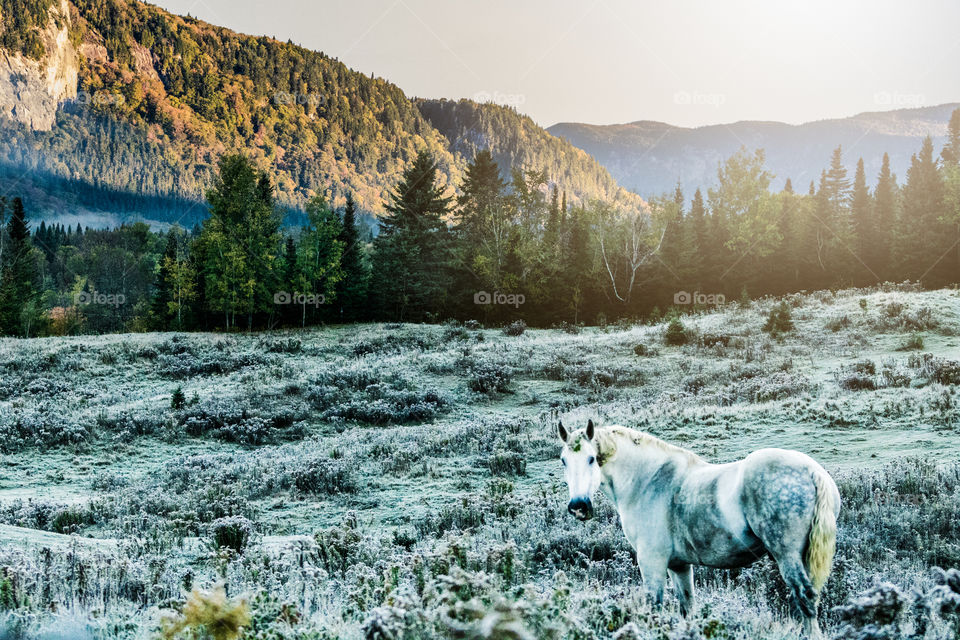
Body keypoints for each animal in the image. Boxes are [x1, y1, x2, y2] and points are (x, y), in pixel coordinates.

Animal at [560, 420, 836, 636]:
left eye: (591, 459)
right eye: (563, 460)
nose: (578, 506)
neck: (648, 479)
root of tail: (813, 471)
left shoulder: (651, 562)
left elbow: (655, 606)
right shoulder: (679, 566)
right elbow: (687, 607)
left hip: (787, 556)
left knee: (805, 598)